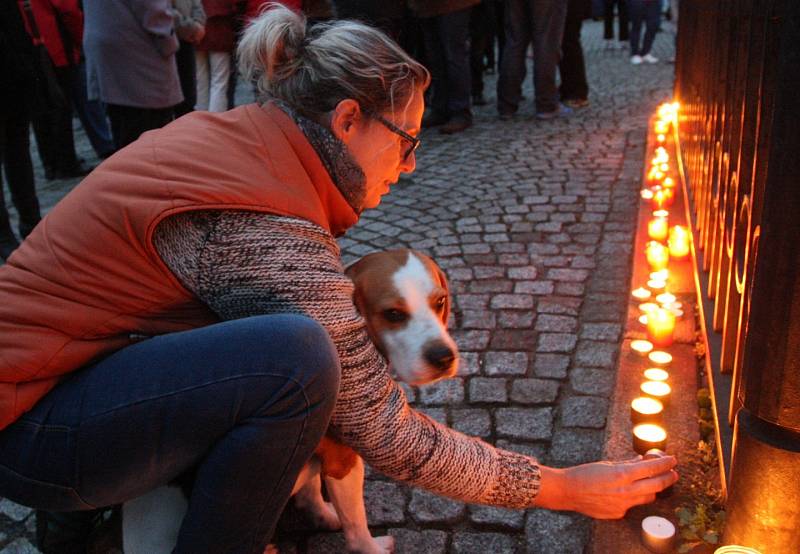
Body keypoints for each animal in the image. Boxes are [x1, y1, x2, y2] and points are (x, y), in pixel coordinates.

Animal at [119, 249, 456, 552]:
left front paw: (324, 516)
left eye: (439, 302)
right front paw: (369, 548)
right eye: (393, 314)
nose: (444, 357)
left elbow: (312, 495)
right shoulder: (343, 460)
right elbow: (356, 523)